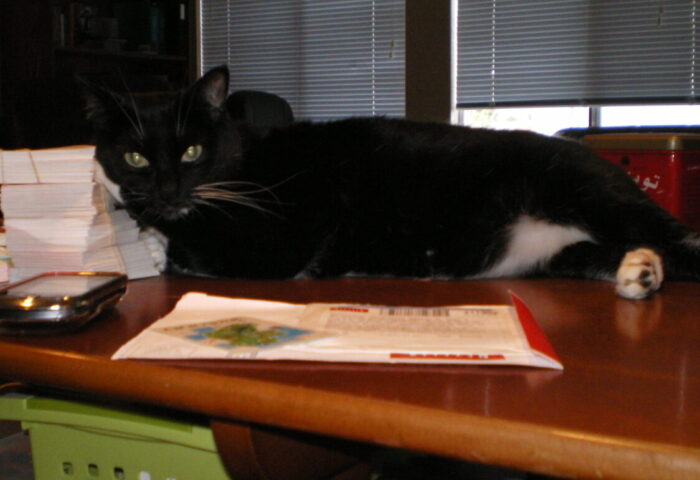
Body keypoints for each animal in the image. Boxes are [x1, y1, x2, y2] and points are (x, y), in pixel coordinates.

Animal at [83, 65, 700, 298]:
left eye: (191, 151)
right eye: (135, 157)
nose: (165, 190)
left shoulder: (285, 235)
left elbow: (197, 248)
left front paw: (153, 239)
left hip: (586, 190)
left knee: (684, 242)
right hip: (560, 249)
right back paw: (639, 272)